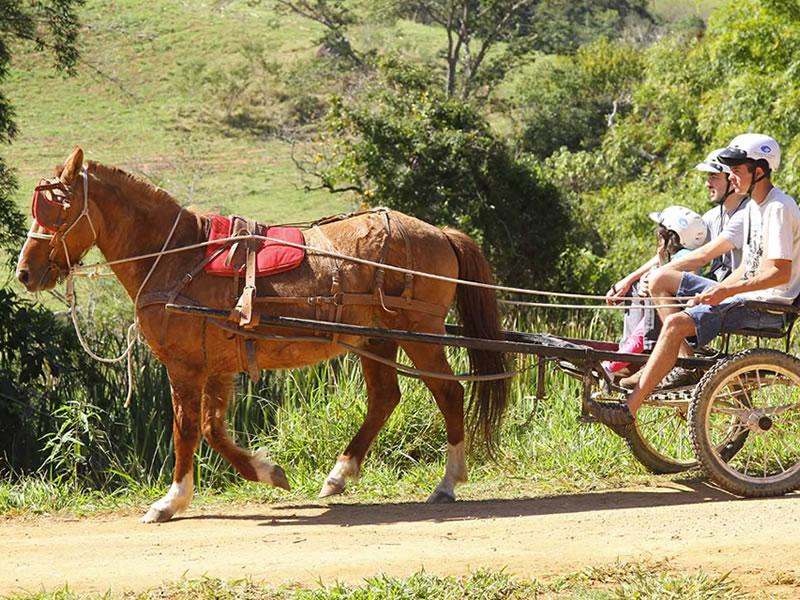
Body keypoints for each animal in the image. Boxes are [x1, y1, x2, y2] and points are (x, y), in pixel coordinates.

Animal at [17, 148, 506, 524]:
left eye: (58, 212)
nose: (24, 272)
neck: (176, 257)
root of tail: (439, 231)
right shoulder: (217, 367)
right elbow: (213, 430)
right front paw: (267, 471)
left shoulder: (184, 366)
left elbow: (186, 430)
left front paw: (172, 500)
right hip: (376, 338)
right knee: (385, 399)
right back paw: (340, 473)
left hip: (420, 334)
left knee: (448, 393)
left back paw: (448, 481)